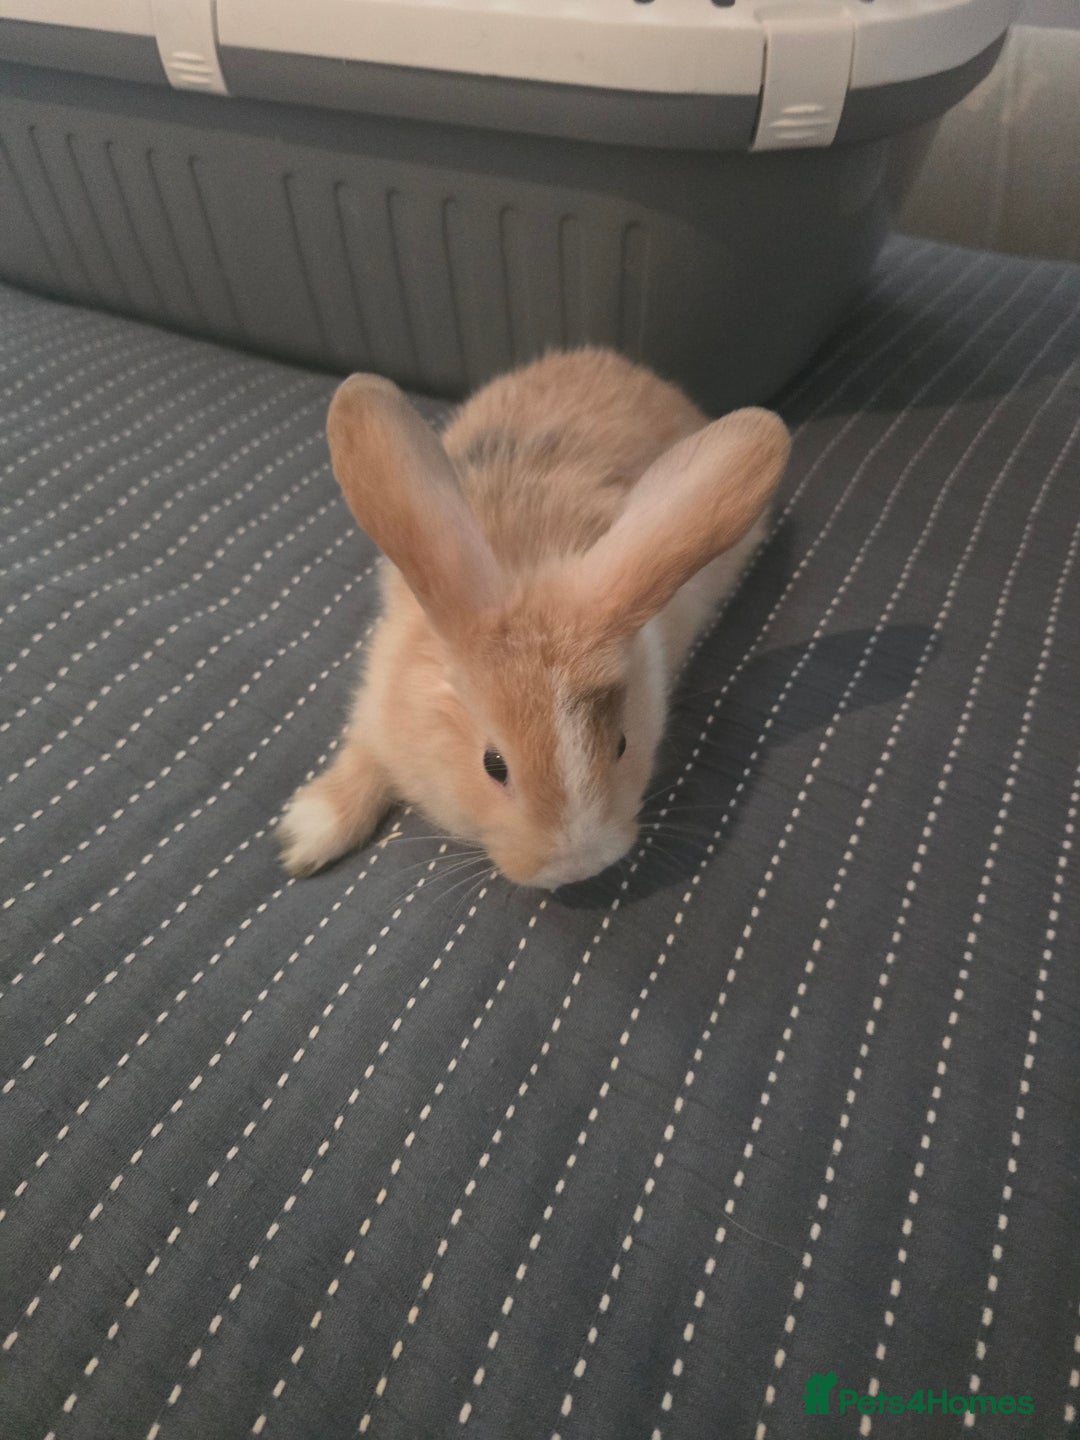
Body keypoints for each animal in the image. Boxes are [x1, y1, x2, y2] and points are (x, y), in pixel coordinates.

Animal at [278, 348, 789, 889]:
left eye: (622, 743)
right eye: (493, 765)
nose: (578, 866)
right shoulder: (377, 703)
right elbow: (364, 754)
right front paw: (305, 835)